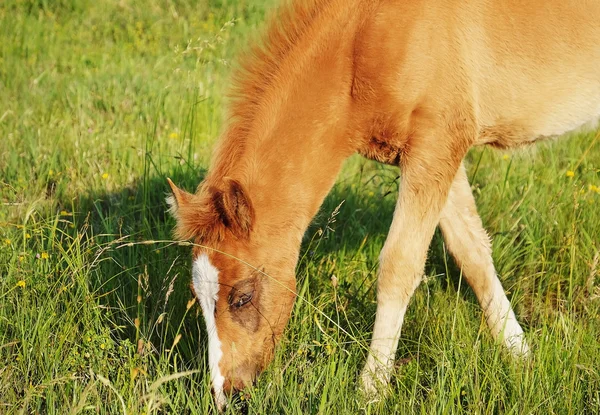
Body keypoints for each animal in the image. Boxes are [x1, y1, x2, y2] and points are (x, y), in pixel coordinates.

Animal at [168, 0, 600, 410]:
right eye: (197, 295)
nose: (227, 394)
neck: (363, 38)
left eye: (242, 297)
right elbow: (471, 252)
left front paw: (371, 390)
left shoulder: (436, 146)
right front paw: (520, 354)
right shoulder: (432, 156)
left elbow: (399, 267)